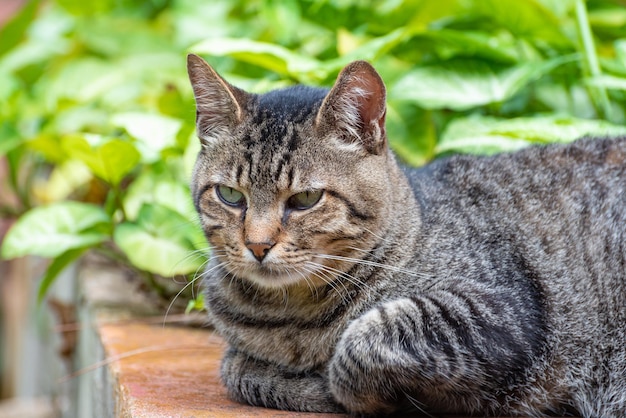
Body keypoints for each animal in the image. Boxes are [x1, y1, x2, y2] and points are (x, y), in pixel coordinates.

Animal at [185, 54, 624, 416]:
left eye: (306, 199)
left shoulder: (502, 311)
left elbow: (362, 343)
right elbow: (236, 369)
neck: (293, 319)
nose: (257, 245)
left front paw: (341, 389)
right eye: (229, 195)